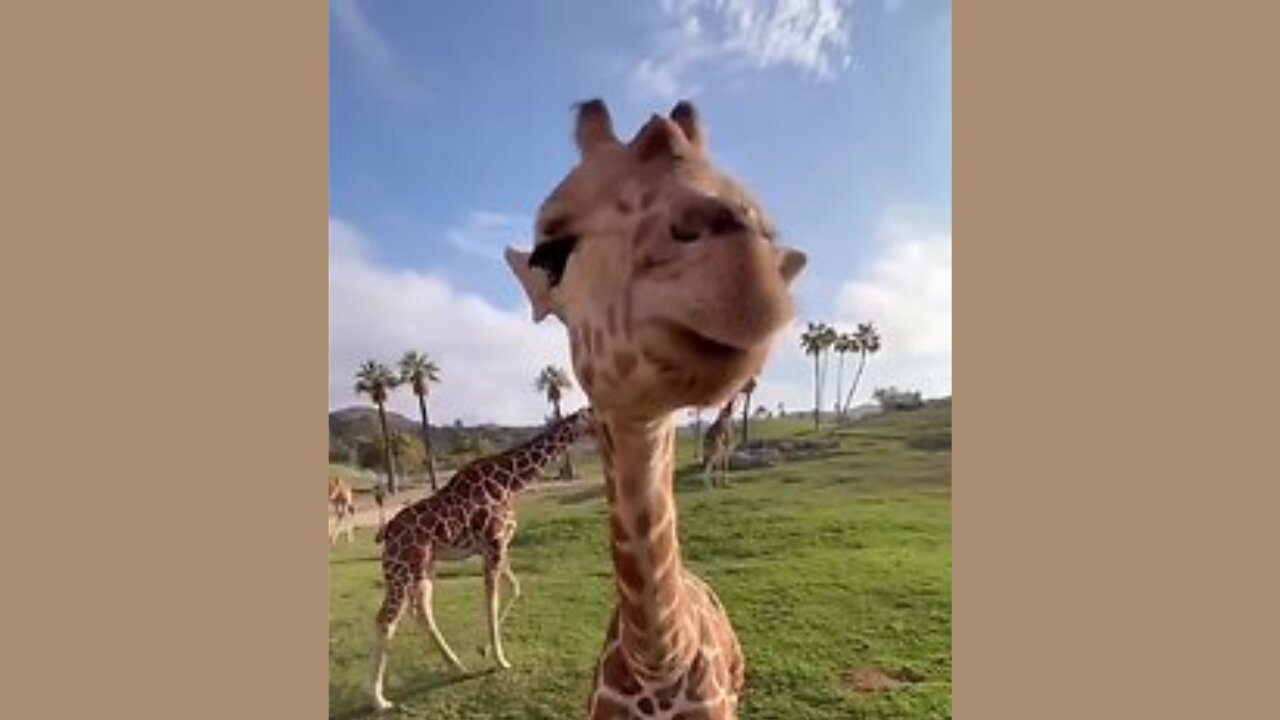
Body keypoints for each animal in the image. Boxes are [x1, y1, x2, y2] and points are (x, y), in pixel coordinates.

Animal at [366, 407, 593, 707]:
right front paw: (501, 660)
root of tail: (387, 532)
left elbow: (515, 588)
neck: (510, 481)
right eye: (592, 414)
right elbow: (491, 600)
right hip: (400, 570)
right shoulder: (495, 543)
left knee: (420, 611)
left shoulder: (495, 547)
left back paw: (457, 667)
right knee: (386, 620)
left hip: (423, 567)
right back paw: (379, 699)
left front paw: (485, 649)